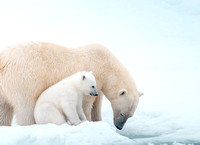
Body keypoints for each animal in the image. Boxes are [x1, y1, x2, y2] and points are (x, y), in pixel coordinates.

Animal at [0, 41, 142, 130]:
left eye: (130, 115)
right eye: (122, 113)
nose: (119, 127)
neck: (107, 65)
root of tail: (4, 62)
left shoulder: (99, 85)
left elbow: (97, 104)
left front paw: (98, 121)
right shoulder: (92, 79)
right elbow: (86, 104)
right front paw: (88, 121)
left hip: (3, 89)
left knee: (4, 111)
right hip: (25, 81)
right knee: (26, 108)